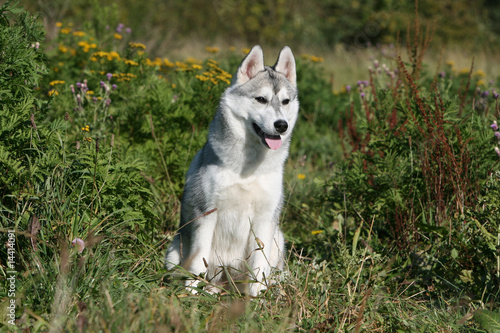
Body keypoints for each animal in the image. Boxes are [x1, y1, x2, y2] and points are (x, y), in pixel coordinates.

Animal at [165, 44, 296, 296]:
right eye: (261, 99)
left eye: (285, 101)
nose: (281, 125)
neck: (249, 168)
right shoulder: (206, 213)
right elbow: (198, 262)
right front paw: (191, 295)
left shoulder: (265, 220)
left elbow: (259, 268)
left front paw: (256, 300)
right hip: (174, 251)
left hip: (278, 240)